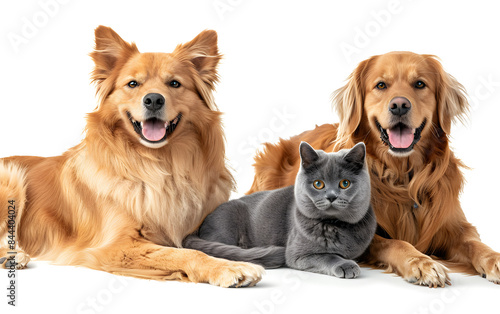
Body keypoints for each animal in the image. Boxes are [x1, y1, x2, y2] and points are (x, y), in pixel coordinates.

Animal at [0, 26, 264, 288]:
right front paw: (229, 267)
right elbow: (184, 253)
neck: (160, 165)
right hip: (12, 178)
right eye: (133, 83)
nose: (154, 99)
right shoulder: (116, 246)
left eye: (175, 83)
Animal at [184, 142, 376, 278]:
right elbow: (328, 256)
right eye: (318, 184)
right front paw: (346, 264)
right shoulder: (298, 254)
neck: (336, 226)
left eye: (344, 183)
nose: (331, 196)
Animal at [250, 51, 500, 288]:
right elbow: (397, 243)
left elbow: (475, 243)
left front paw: (494, 259)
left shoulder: (454, 226)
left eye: (420, 84)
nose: (399, 105)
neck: (403, 177)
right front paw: (422, 263)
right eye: (381, 85)